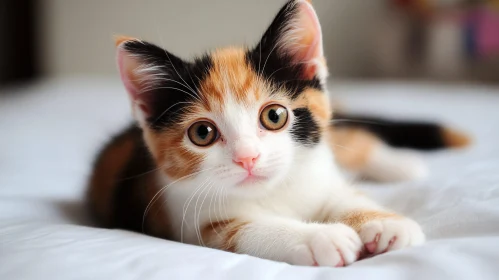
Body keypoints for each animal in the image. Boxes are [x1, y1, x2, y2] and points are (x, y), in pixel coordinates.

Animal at [89, 0, 468, 266]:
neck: (275, 189)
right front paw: (321, 239)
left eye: (274, 116)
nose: (248, 157)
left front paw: (386, 223)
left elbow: (345, 195)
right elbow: (247, 229)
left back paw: (401, 164)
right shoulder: (191, 220)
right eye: (202, 133)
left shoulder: (320, 172)